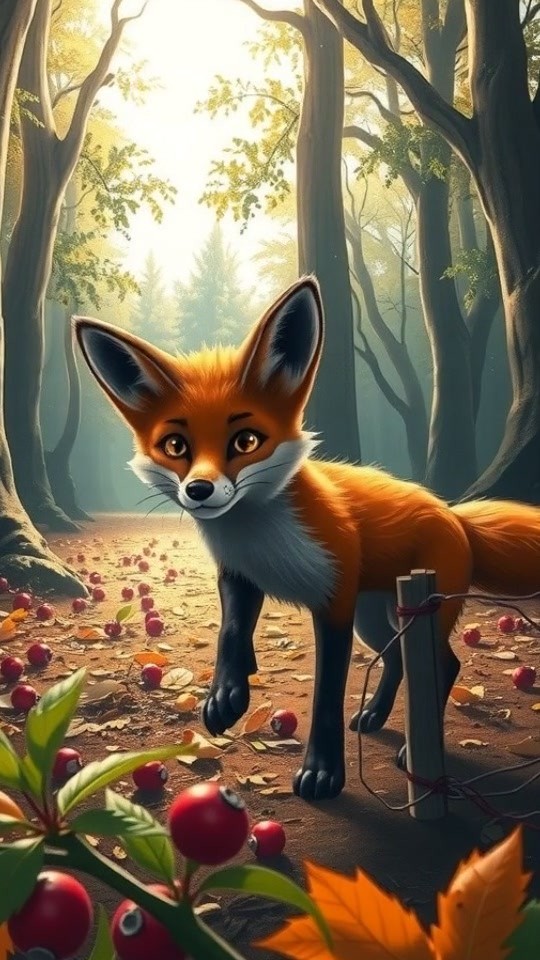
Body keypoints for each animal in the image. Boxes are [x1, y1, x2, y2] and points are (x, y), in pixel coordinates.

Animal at [74, 276, 540, 801]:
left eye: (246, 441)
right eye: (176, 446)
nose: (198, 490)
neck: (260, 538)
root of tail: (454, 514)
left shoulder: (334, 603)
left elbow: (326, 695)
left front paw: (322, 772)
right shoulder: (240, 576)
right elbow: (230, 633)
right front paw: (227, 695)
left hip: (415, 611)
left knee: (445, 665)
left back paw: (413, 752)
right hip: (376, 619)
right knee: (401, 660)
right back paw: (375, 716)